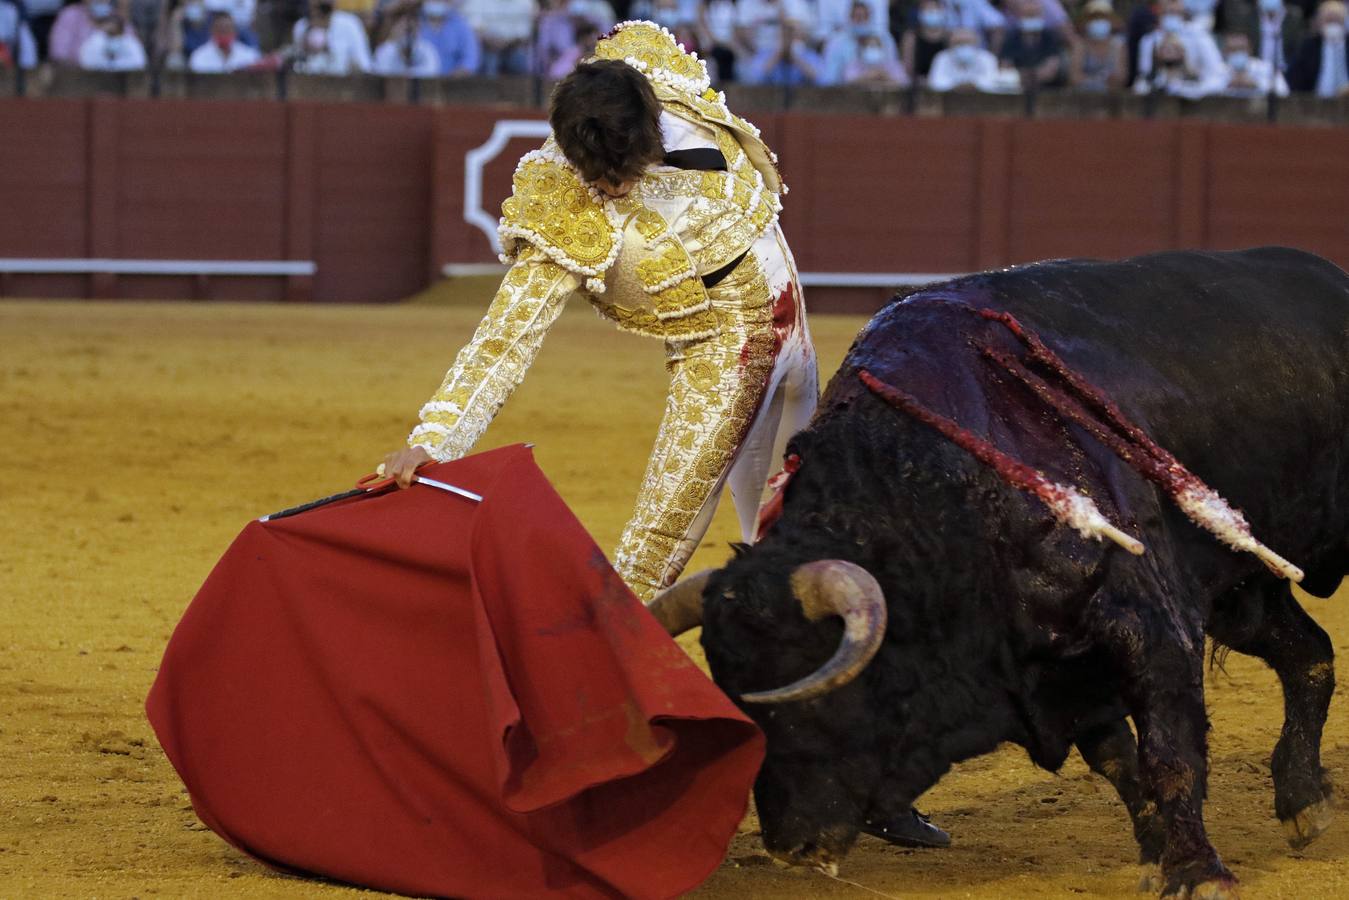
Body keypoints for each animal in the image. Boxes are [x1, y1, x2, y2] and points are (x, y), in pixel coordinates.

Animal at [650, 248, 1349, 900]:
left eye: (814, 693)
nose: (788, 847)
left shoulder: (1150, 626)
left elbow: (1168, 751)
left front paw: (1196, 873)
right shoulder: (1065, 666)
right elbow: (1120, 762)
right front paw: (1156, 854)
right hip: (1243, 595)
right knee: (1310, 653)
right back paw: (1302, 800)